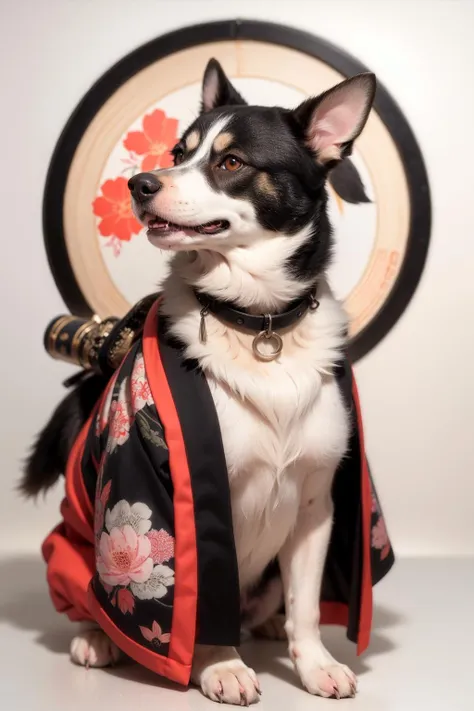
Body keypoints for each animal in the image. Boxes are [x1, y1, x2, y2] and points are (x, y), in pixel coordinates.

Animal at [23, 58, 378, 704]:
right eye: (176, 152)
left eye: (231, 162)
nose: (140, 184)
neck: (260, 324)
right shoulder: (183, 495)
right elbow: (203, 592)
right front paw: (221, 666)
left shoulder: (317, 502)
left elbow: (308, 606)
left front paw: (313, 663)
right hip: (77, 548)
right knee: (88, 599)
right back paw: (98, 637)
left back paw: (267, 623)